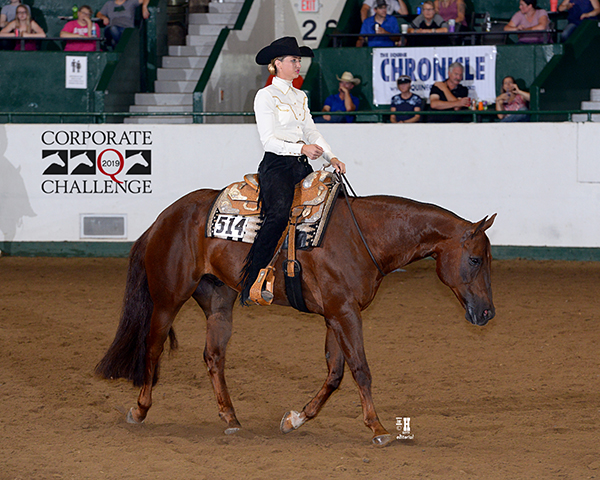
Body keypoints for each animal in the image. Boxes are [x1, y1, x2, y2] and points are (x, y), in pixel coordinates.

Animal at [95, 188, 496, 446]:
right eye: (476, 259)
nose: (488, 313)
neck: (363, 236)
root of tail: (162, 219)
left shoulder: (336, 315)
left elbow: (335, 374)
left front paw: (295, 419)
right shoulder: (345, 313)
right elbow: (361, 370)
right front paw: (379, 428)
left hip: (218, 302)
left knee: (213, 357)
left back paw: (231, 418)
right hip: (168, 298)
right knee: (152, 348)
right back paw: (139, 410)